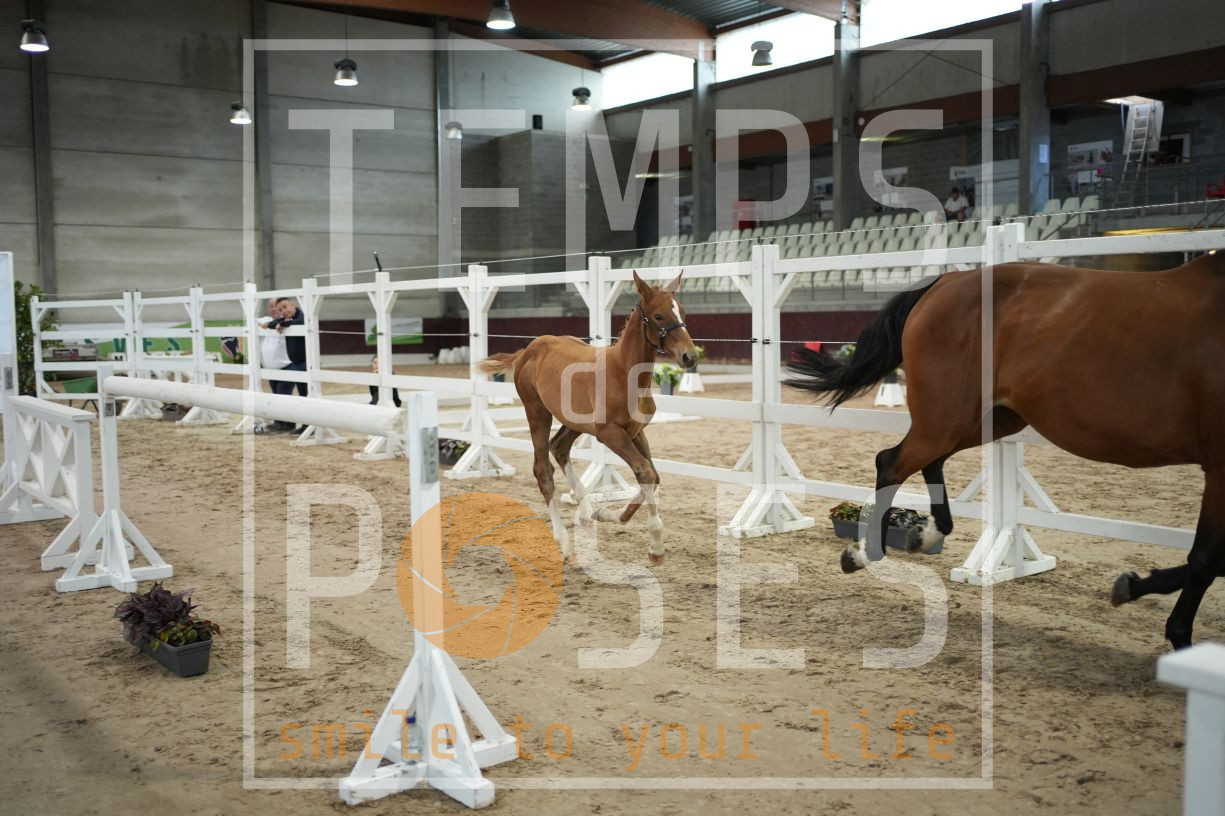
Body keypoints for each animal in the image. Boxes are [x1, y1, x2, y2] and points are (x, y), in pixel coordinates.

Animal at [478, 271, 697, 566]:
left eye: (682, 311)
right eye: (659, 316)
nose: (690, 356)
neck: (623, 373)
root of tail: (529, 349)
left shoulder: (637, 431)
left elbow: (654, 475)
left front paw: (605, 514)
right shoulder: (610, 434)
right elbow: (645, 471)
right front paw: (656, 546)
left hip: (575, 422)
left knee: (559, 447)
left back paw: (586, 512)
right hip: (537, 411)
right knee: (543, 470)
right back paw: (566, 546)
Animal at [787, 253, 1225, 650]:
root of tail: (946, 281)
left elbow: (1208, 559)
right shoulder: (1219, 467)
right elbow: (1206, 559)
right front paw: (1163, 621)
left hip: (986, 418)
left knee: (925, 461)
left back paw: (922, 535)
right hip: (951, 417)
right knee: (891, 462)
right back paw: (863, 554)